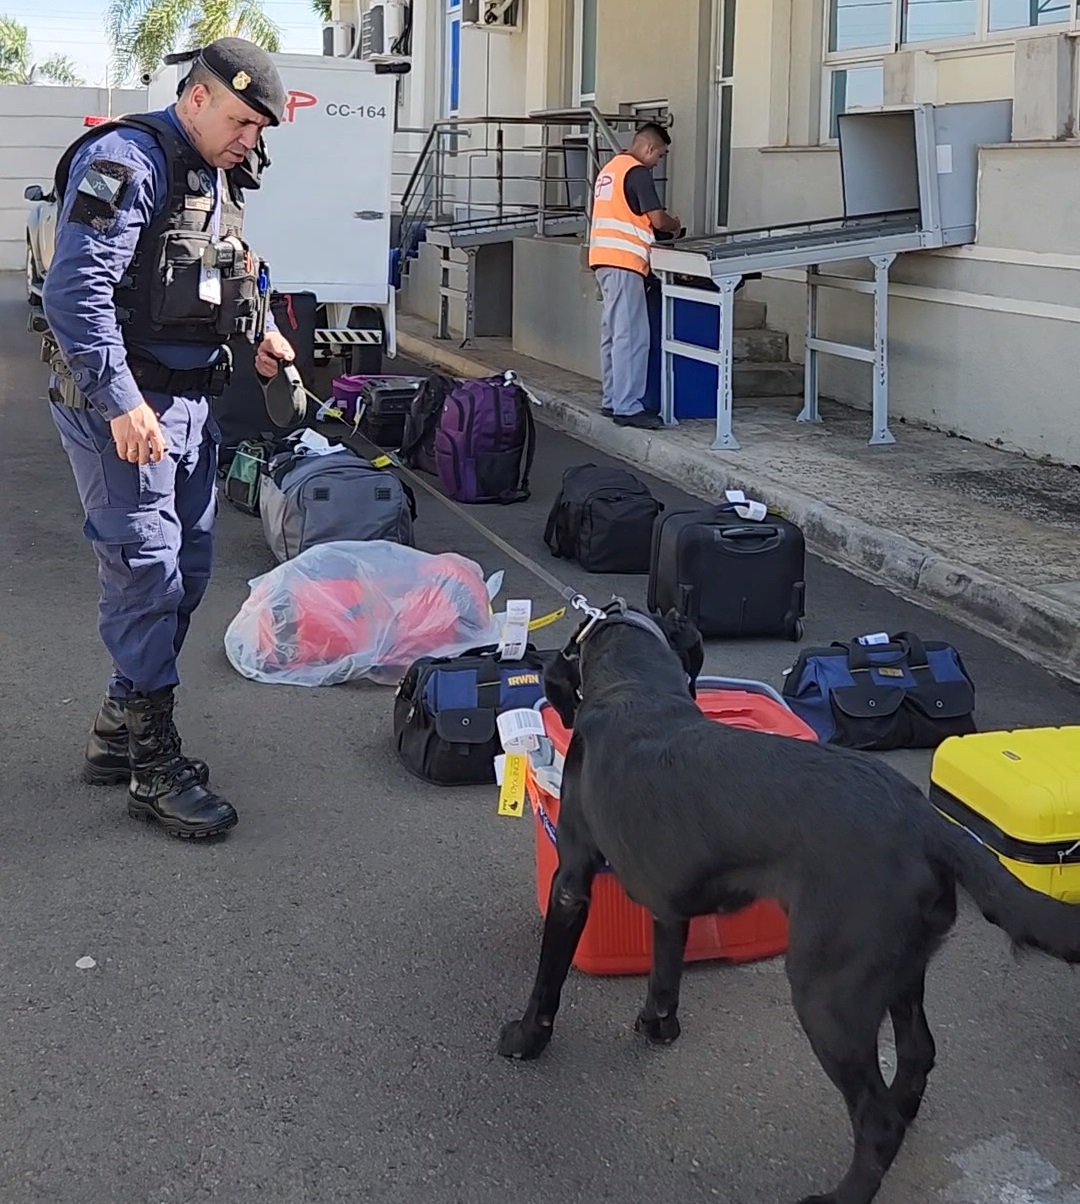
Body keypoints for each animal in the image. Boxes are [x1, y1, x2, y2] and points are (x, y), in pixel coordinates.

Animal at [498, 611, 1078, 1204]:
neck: (636, 686)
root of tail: (926, 821)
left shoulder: (572, 881)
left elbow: (548, 981)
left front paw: (526, 1039)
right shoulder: (669, 901)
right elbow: (664, 974)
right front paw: (658, 1026)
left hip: (828, 991)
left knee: (877, 1120)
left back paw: (843, 1193)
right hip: (899, 969)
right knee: (918, 1052)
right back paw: (904, 1104)